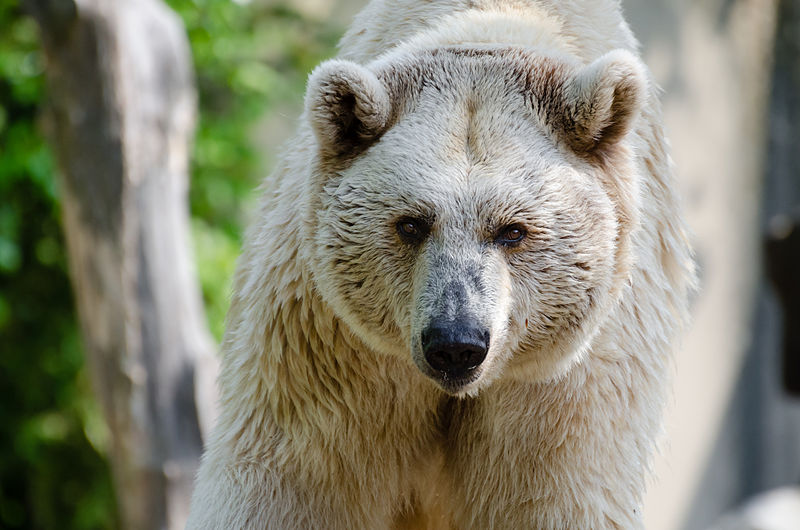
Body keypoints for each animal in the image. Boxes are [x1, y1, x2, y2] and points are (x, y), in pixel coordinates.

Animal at [186, 2, 692, 524]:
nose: (455, 344)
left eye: (513, 230)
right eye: (411, 223)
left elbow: (552, 493)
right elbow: (292, 481)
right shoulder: (326, 343)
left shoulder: (570, 378)